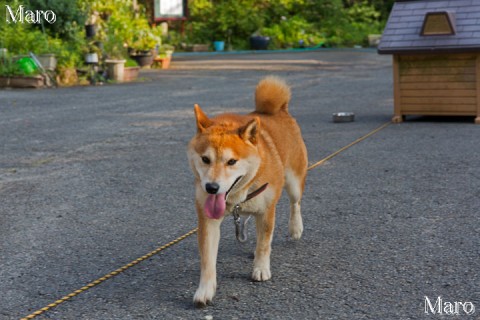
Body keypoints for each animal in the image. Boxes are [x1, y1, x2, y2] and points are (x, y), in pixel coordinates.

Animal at [188, 76, 308, 306]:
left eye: (232, 161)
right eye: (205, 159)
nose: (211, 188)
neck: (236, 197)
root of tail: (279, 111)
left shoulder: (266, 211)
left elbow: (264, 244)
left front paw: (261, 268)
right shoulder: (208, 220)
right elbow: (207, 260)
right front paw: (205, 290)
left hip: (294, 182)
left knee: (295, 203)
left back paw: (296, 227)